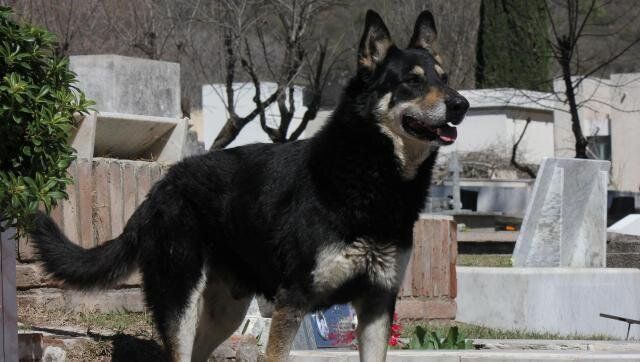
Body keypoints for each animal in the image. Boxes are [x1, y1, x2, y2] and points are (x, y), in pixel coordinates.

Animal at [30, 8, 468, 362]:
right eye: (411, 81)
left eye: (445, 78)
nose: (461, 104)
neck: (371, 174)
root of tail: (162, 185)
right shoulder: (294, 302)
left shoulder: (378, 304)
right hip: (180, 300)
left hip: (228, 309)